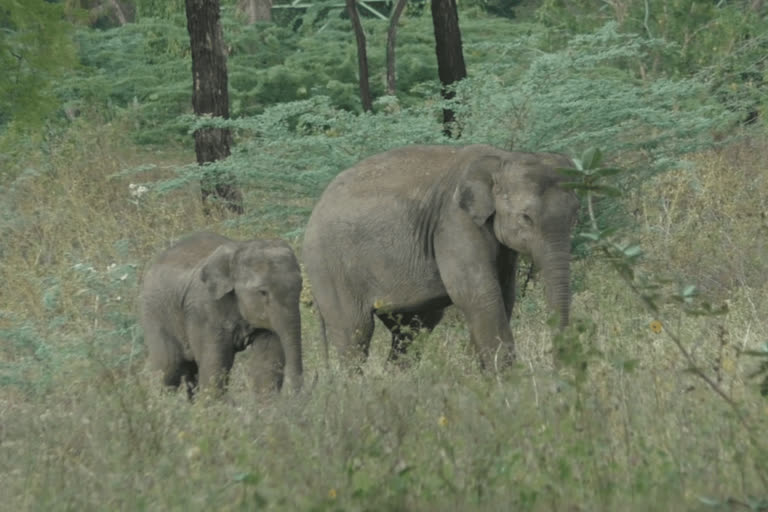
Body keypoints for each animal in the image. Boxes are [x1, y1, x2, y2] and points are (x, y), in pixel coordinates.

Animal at [141, 233, 304, 400]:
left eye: (301, 286)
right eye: (263, 292)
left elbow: (268, 357)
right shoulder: (204, 308)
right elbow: (215, 363)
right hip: (154, 312)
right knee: (168, 366)